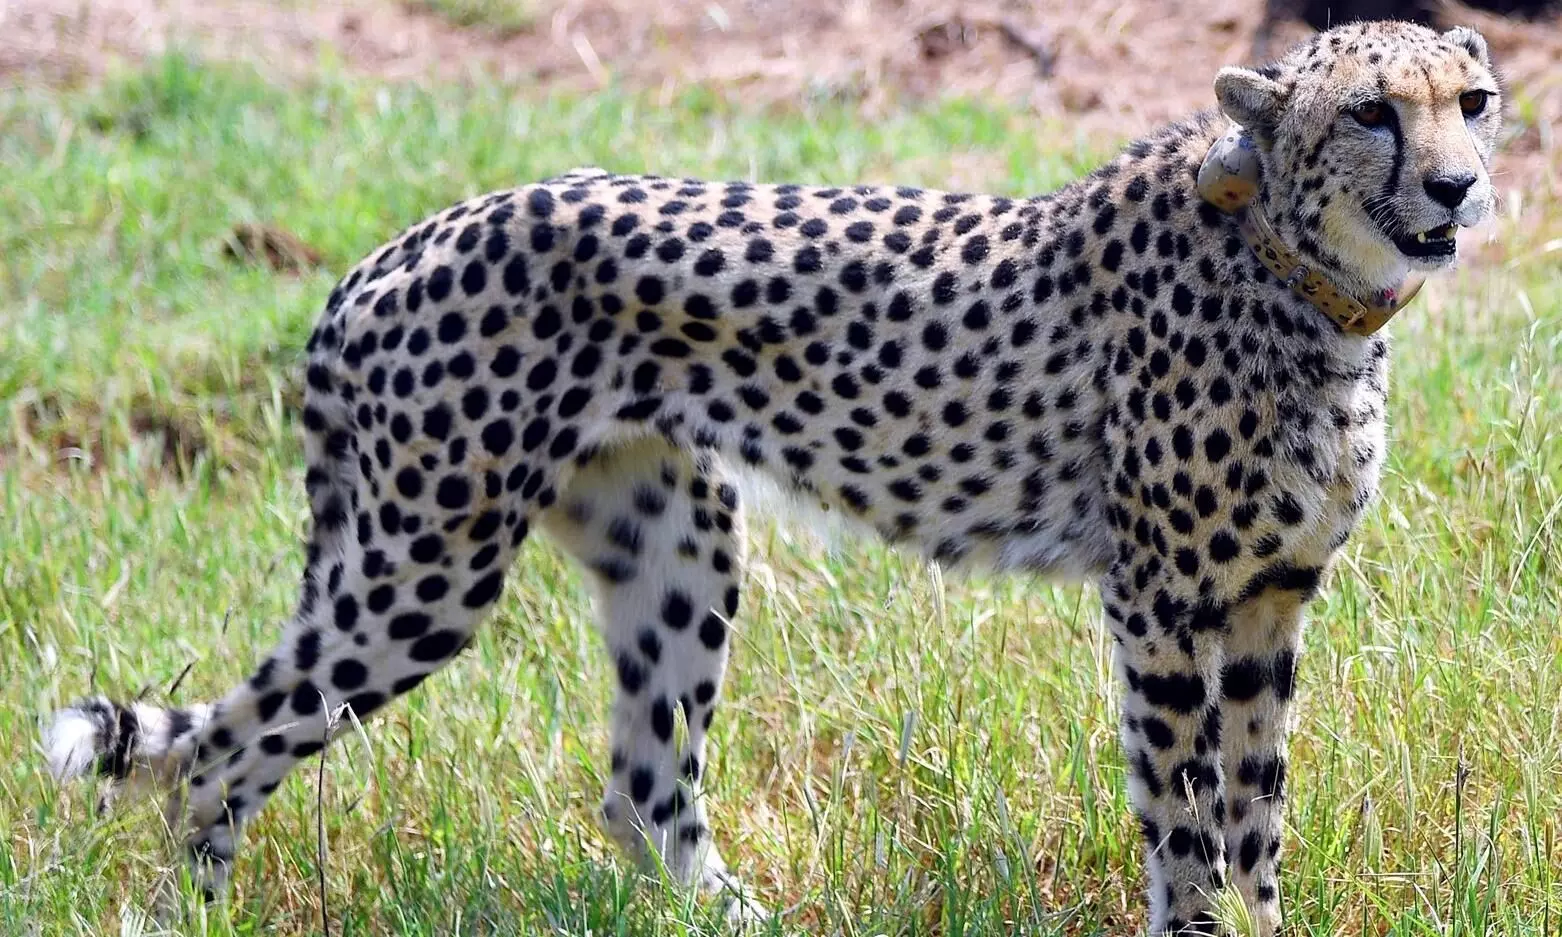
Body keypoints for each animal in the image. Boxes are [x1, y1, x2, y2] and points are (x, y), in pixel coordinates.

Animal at [44, 20, 1501, 934]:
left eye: (1471, 103)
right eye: (1370, 112)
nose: (1456, 185)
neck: (1304, 276)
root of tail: (395, 246)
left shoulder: (1267, 602)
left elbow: (1256, 816)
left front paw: (1265, 920)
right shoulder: (1161, 604)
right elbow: (1185, 815)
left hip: (675, 540)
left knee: (642, 790)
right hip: (426, 566)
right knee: (218, 750)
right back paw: (195, 918)